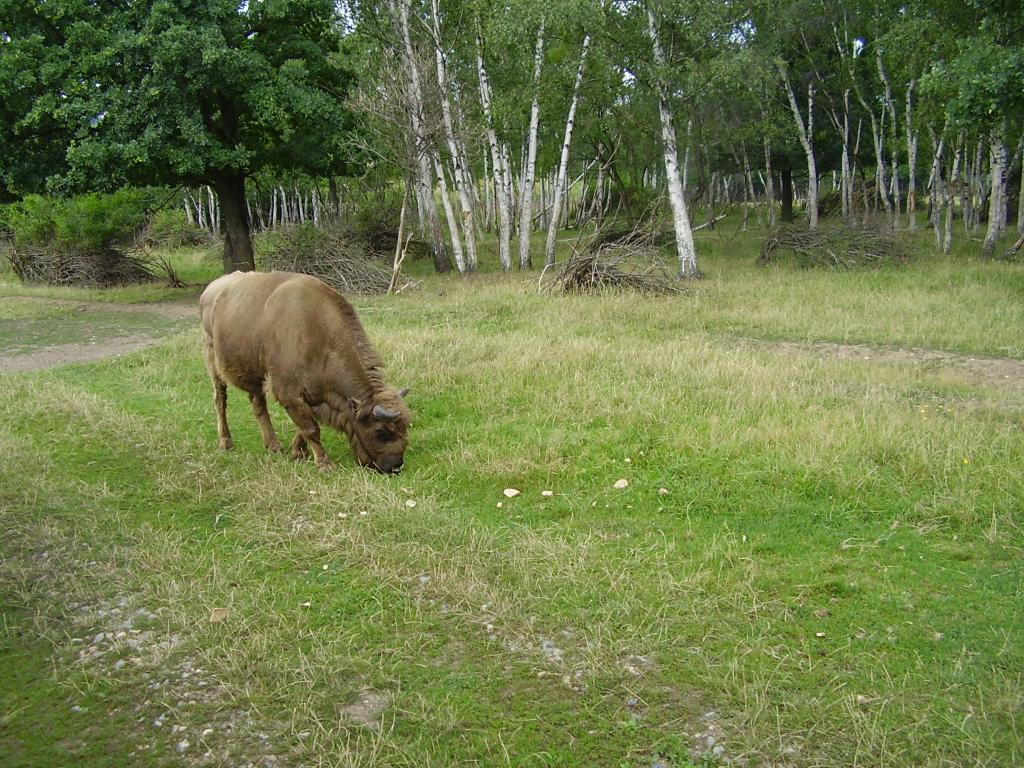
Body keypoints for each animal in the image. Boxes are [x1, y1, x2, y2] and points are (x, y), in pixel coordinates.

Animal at [199, 271, 410, 473]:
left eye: (406, 428)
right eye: (381, 432)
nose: (396, 467)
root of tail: (210, 289)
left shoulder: (315, 396)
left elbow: (304, 426)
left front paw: (298, 453)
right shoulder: (288, 393)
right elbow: (311, 429)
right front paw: (324, 464)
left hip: (255, 374)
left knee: (258, 404)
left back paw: (274, 446)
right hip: (213, 361)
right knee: (220, 400)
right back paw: (226, 443)